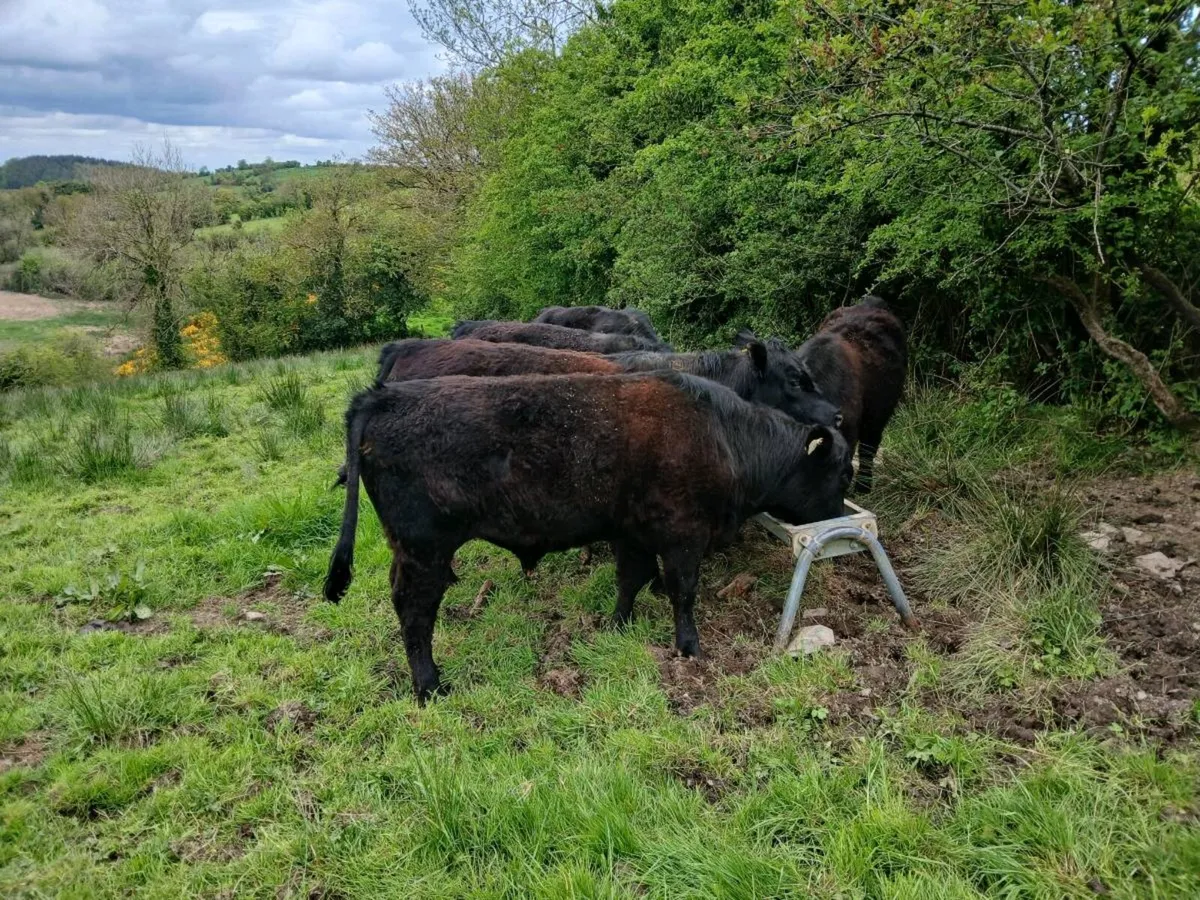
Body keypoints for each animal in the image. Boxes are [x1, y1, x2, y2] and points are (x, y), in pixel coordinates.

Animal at [324, 372, 853, 702]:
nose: (836, 526)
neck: (724, 436)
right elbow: (682, 591)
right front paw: (689, 647)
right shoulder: (683, 536)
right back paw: (430, 685)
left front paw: (617, 625)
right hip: (424, 551)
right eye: (842, 473)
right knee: (414, 611)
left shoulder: (631, 532)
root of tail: (383, 395)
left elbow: (631, 580)